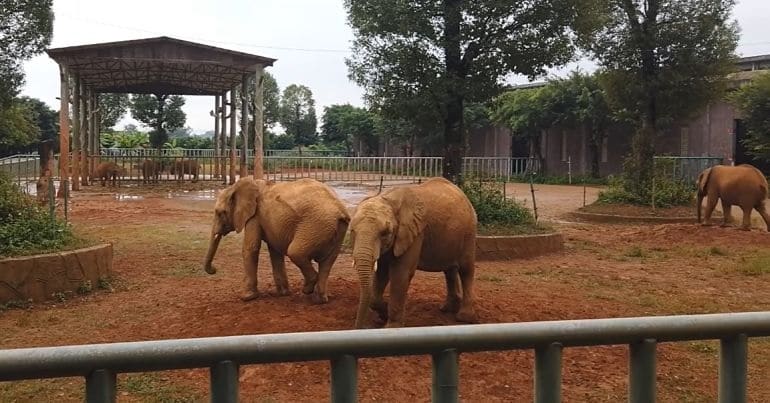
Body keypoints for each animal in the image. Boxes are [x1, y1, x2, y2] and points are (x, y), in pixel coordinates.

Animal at [203, 178, 350, 303]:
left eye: (220, 213)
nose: (214, 269)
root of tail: (341, 210)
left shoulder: (255, 216)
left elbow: (251, 248)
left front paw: (247, 297)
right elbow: (275, 251)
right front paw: (281, 294)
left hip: (316, 225)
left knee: (295, 253)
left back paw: (307, 290)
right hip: (334, 229)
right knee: (327, 263)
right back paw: (319, 300)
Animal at [349, 177, 478, 328]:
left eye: (385, 233)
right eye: (352, 231)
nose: (361, 327)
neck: (387, 199)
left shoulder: (414, 233)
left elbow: (400, 274)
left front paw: (391, 327)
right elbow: (381, 272)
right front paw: (382, 315)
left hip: (469, 231)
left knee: (466, 269)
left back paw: (464, 318)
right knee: (450, 270)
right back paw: (446, 309)